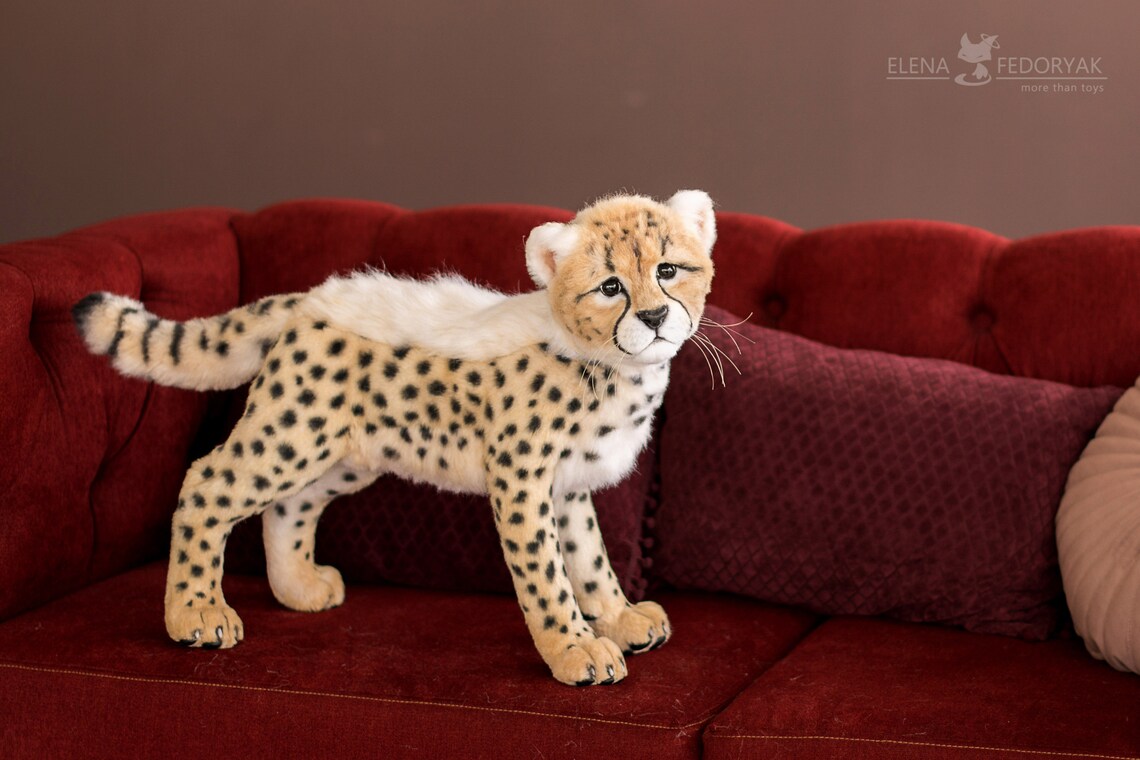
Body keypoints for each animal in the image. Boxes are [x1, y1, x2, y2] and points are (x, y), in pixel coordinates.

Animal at [71, 190, 717, 686]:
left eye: (667, 270)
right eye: (609, 286)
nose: (655, 318)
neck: (608, 364)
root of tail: (308, 298)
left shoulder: (566, 487)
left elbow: (590, 558)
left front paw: (619, 618)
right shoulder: (521, 481)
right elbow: (547, 575)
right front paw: (575, 650)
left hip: (347, 453)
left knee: (289, 505)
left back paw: (299, 587)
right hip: (292, 432)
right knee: (208, 482)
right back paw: (197, 613)